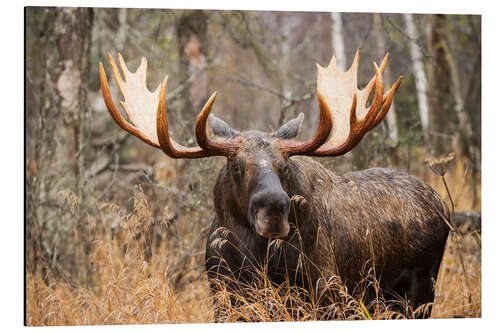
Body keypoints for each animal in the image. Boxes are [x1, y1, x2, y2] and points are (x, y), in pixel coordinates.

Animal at [99, 50, 452, 320]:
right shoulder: (224, 296)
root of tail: (441, 203)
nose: (273, 210)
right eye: (237, 166)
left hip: (421, 288)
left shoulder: (326, 291)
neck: (253, 258)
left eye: (284, 166)